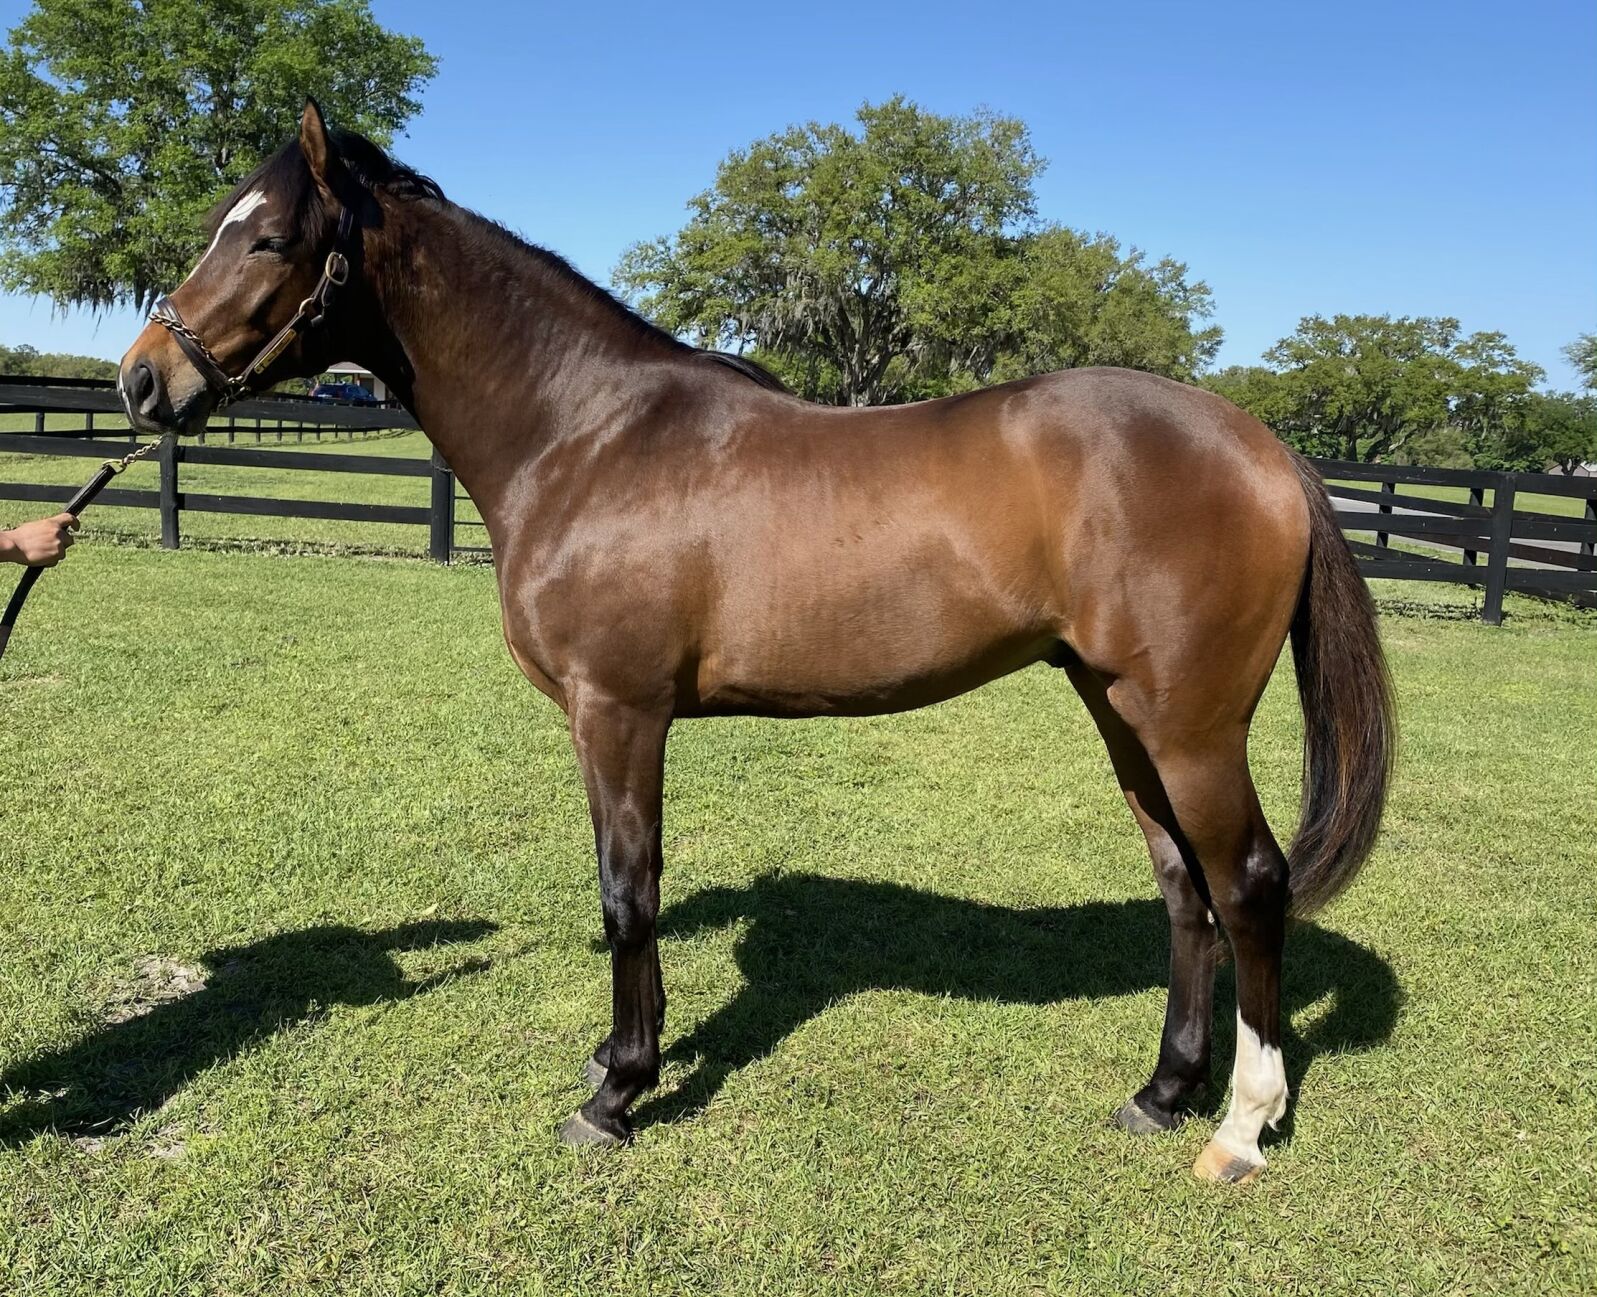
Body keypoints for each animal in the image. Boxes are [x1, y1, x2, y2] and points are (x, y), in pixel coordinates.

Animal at [118, 103, 1392, 1188]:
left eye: (269, 237)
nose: (141, 378)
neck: (583, 434)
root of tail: (1262, 447)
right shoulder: (595, 719)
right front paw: (615, 1058)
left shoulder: (620, 709)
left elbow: (627, 891)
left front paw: (617, 1093)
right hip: (1118, 707)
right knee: (1184, 888)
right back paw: (1161, 1091)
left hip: (1189, 724)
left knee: (1248, 884)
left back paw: (1238, 1127)